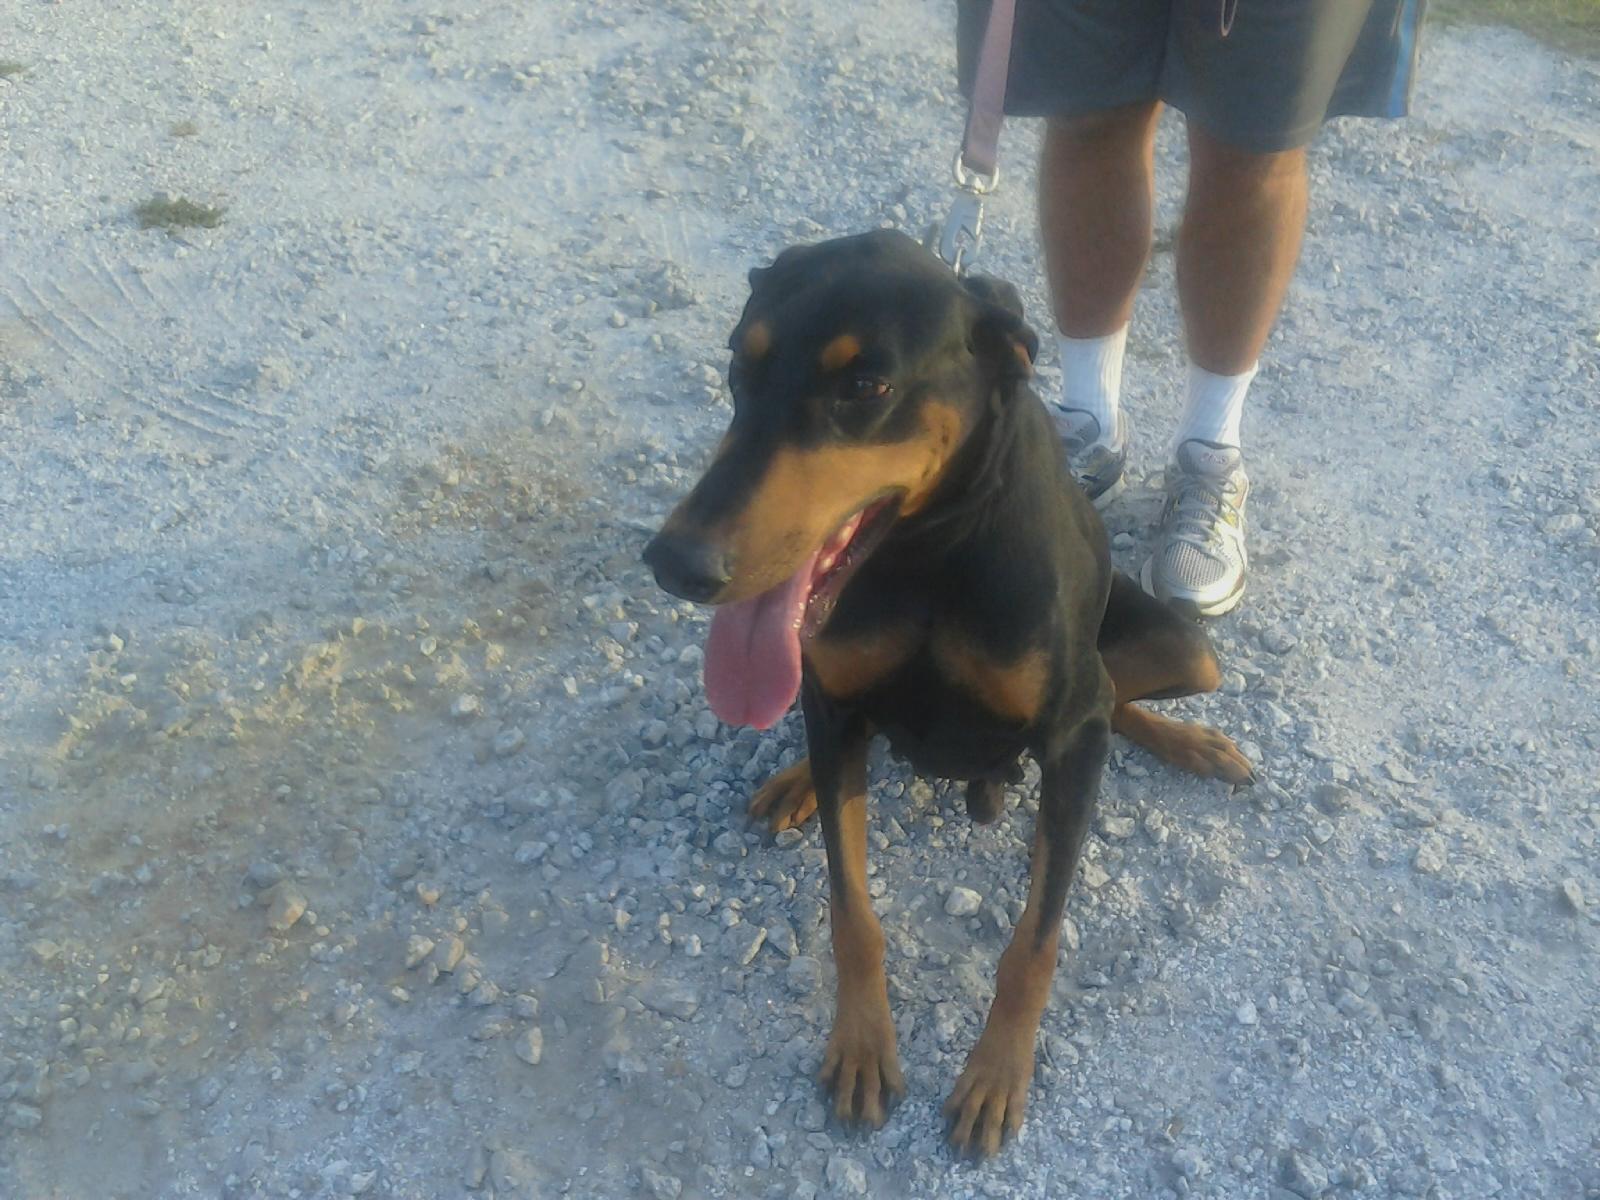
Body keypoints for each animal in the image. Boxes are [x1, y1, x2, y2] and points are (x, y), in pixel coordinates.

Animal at [643, 229, 1252, 1157]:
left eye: (864, 387)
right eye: (738, 365)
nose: (674, 563)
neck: (925, 555)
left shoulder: (1073, 729)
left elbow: (1034, 941)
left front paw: (996, 1075)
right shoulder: (835, 696)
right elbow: (851, 910)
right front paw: (863, 1046)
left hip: (1183, 651)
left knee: (1120, 698)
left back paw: (1193, 745)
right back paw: (797, 781)